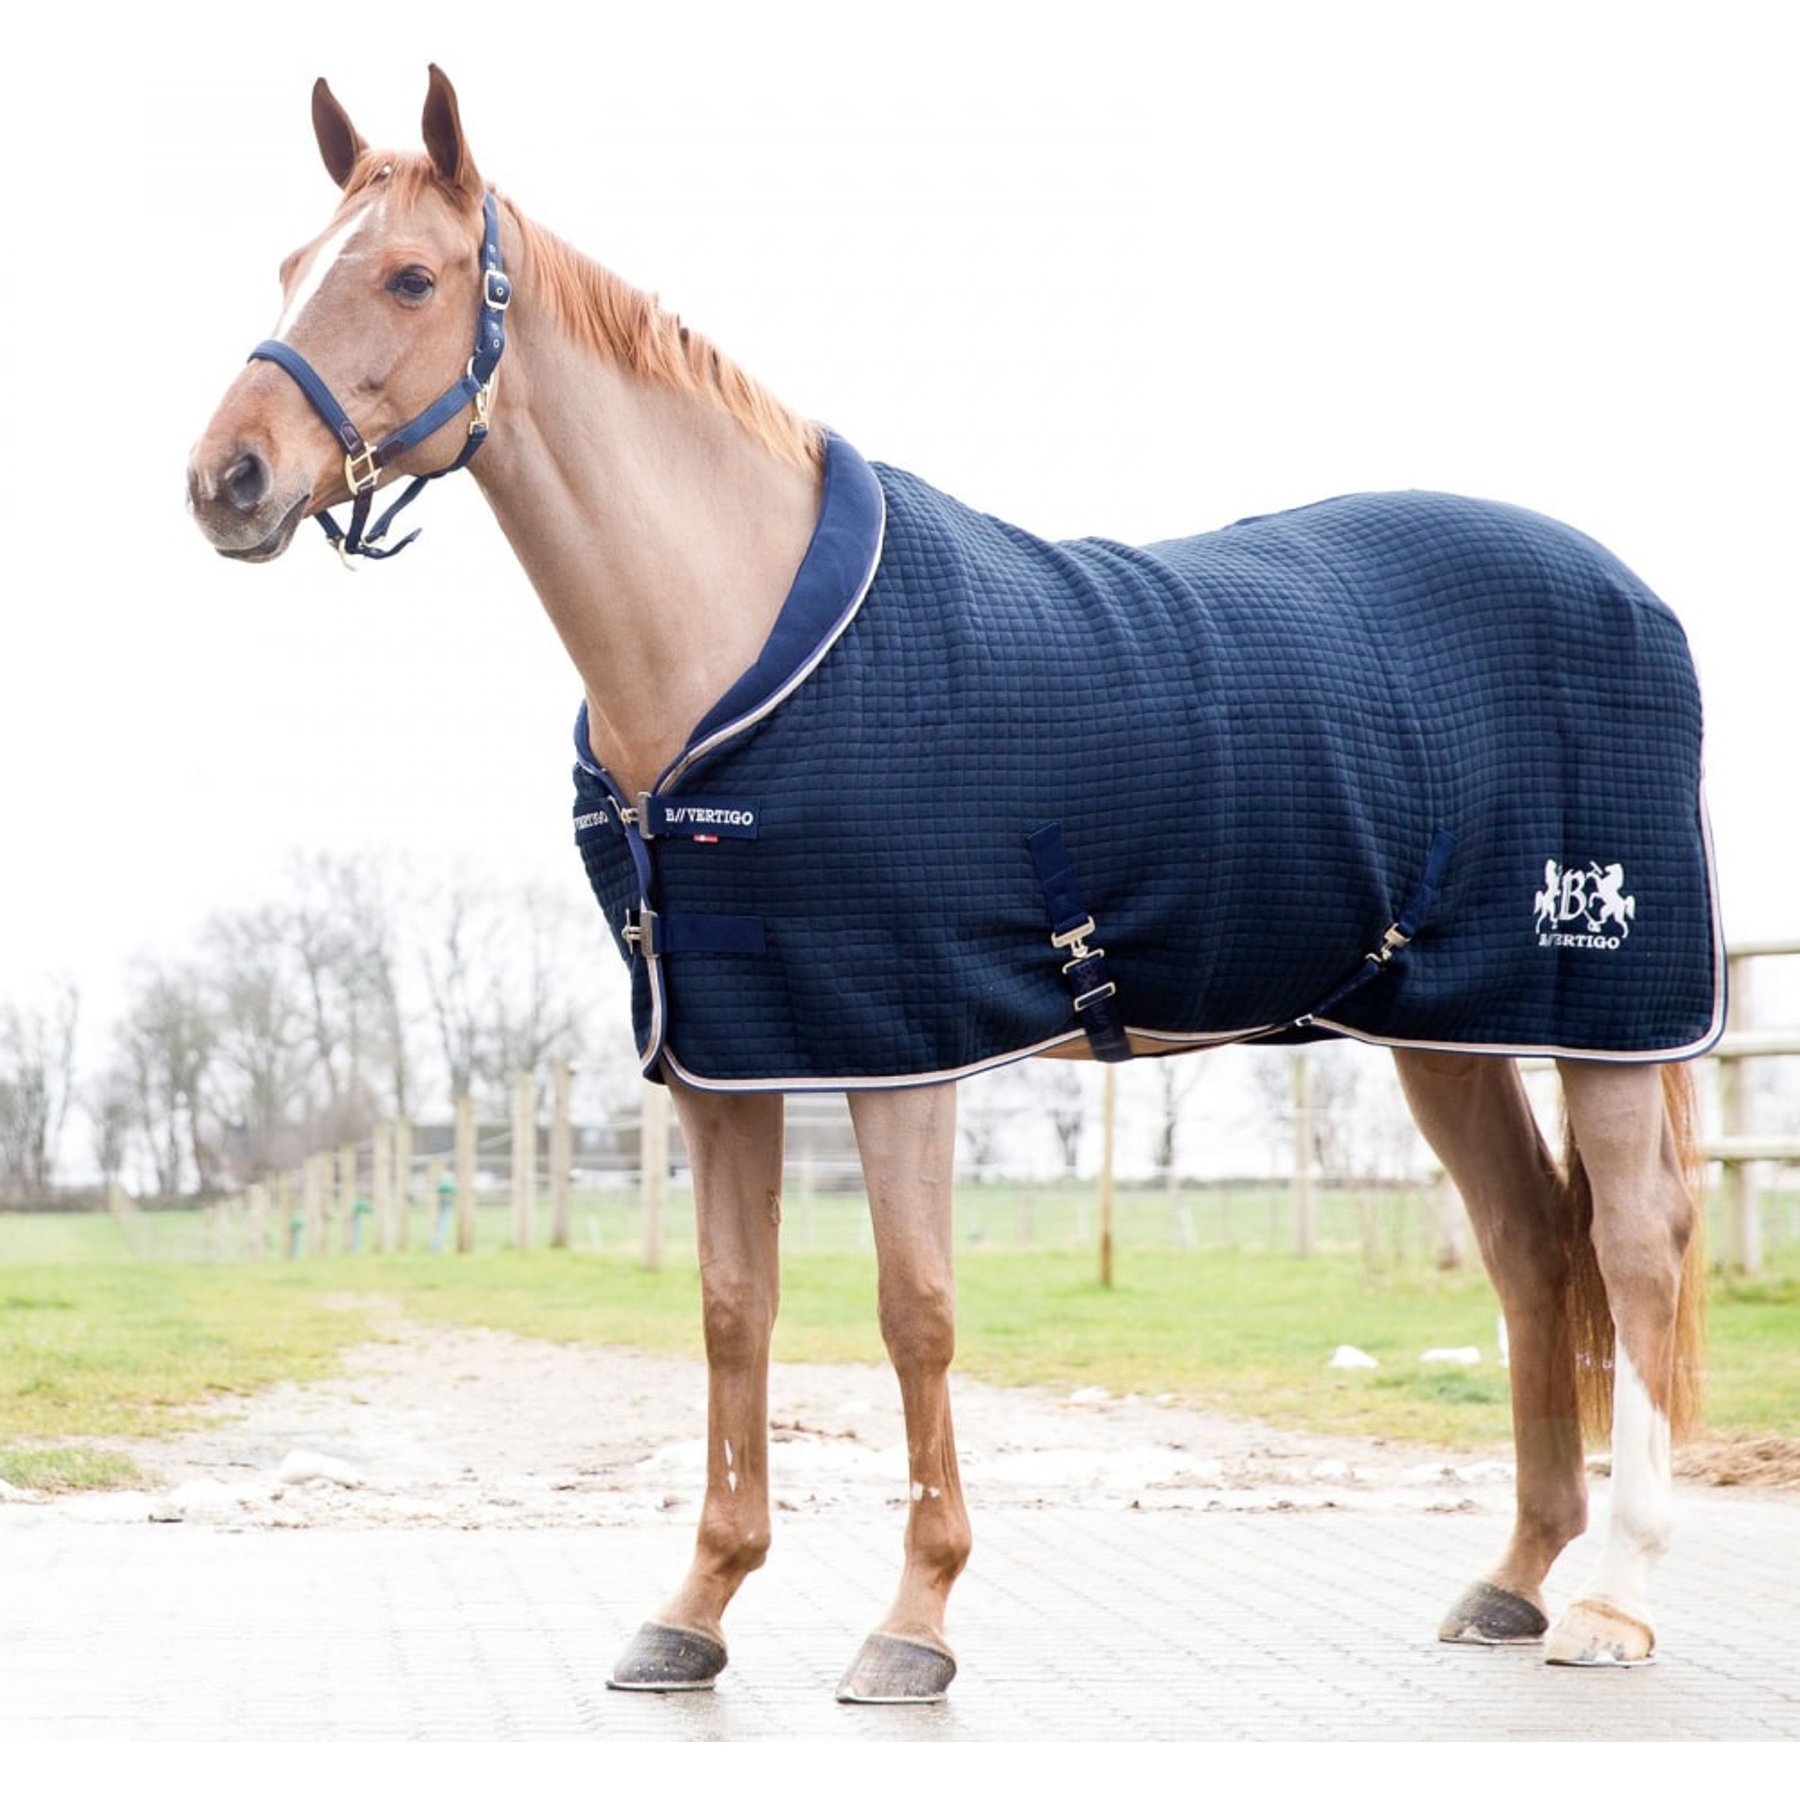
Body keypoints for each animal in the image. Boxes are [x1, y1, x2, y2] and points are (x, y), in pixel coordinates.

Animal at [188, 67, 1716, 1703]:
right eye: (289, 266)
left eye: (409, 277)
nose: (226, 481)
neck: (732, 644)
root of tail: (1633, 594)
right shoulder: (725, 1058)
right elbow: (733, 1312)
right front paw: (695, 1608)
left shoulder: (900, 1045)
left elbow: (912, 1311)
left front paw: (913, 1624)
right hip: (1449, 1030)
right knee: (1530, 1251)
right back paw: (1514, 1580)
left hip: (1605, 1015)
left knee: (1633, 1252)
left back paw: (1617, 1599)